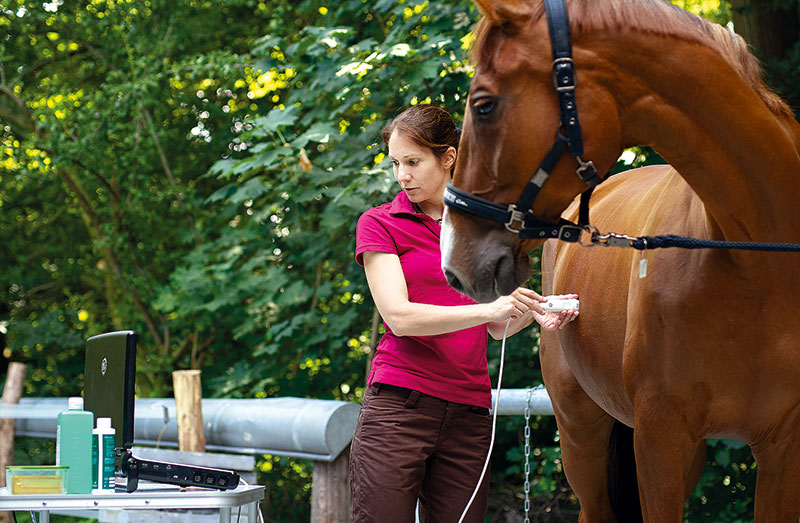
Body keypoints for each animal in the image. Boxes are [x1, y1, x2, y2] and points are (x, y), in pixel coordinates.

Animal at [440, 0, 800, 520]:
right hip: (581, 432)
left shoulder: (782, 449)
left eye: (484, 105)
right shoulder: (660, 437)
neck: (758, 262)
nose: (454, 259)